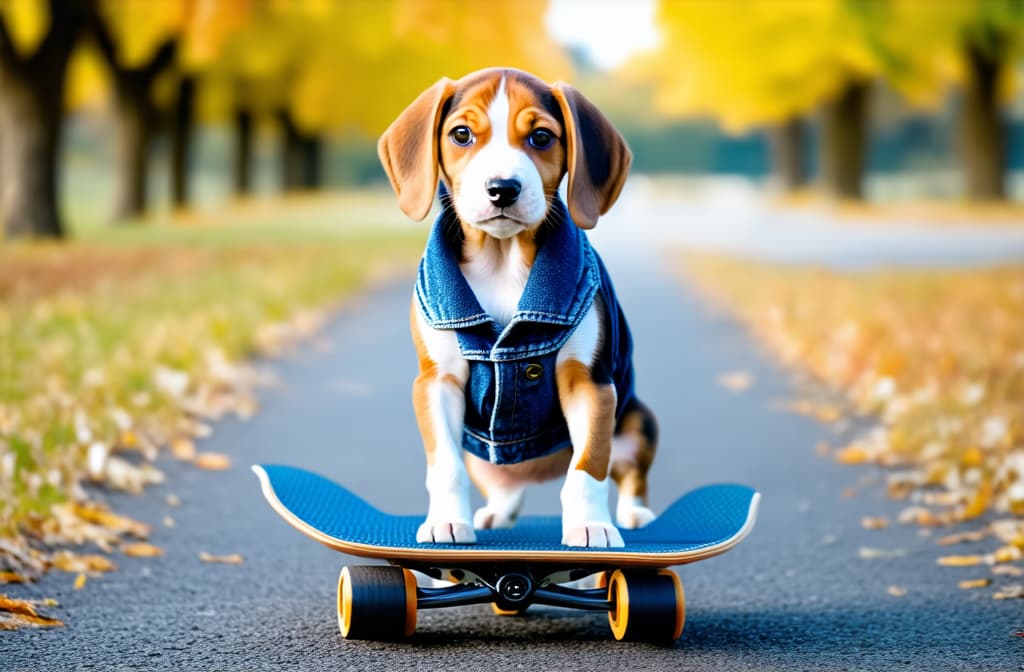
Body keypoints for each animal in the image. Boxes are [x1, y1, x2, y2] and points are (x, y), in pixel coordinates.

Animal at [378, 67, 655, 544]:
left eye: (541, 137)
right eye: (462, 134)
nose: (502, 189)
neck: (501, 259)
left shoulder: (589, 383)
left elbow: (588, 467)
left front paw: (590, 526)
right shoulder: (437, 381)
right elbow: (445, 466)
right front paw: (446, 522)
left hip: (638, 421)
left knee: (629, 474)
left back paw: (635, 513)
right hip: (482, 452)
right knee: (504, 485)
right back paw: (496, 511)